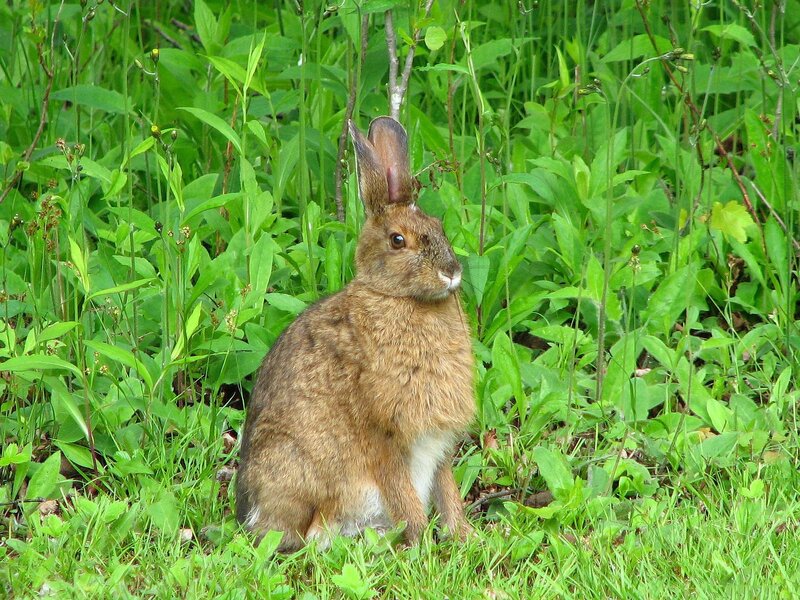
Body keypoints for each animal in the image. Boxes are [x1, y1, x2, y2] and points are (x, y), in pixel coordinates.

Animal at [235, 116, 475, 551]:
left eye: (438, 227)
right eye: (398, 240)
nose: (451, 273)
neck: (396, 297)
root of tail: (253, 517)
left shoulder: (437, 445)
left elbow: (448, 492)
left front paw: (464, 537)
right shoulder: (386, 437)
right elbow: (406, 497)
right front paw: (425, 544)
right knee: (315, 534)